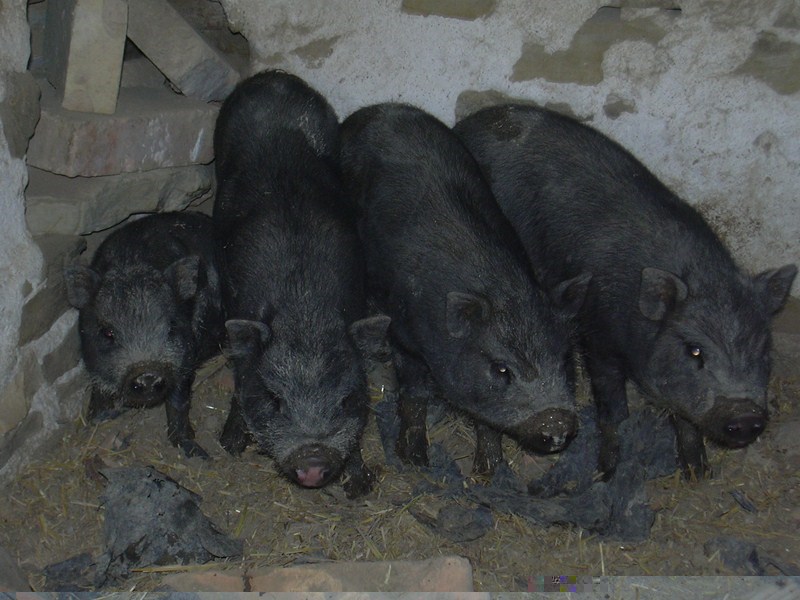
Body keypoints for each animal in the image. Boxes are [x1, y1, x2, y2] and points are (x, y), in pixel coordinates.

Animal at [64, 211, 225, 458]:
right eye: (108, 333)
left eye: (171, 326)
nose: (147, 374)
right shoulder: (92, 359)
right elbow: (99, 390)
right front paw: (98, 419)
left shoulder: (185, 357)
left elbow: (178, 401)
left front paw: (198, 453)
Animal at [213, 70, 390, 499]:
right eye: (275, 399)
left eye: (345, 400)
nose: (312, 462)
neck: (304, 310)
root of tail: (274, 76)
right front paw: (229, 446)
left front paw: (359, 484)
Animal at [339, 103, 591, 476]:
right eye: (501, 369)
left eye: (564, 359)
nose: (556, 422)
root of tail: (377, 109)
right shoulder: (404, 332)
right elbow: (414, 391)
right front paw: (415, 460)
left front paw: (489, 472)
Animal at [454, 104, 797, 478]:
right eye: (695, 351)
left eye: (762, 346)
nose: (745, 416)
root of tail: (472, 122)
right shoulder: (597, 338)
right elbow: (613, 408)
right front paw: (607, 472)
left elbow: (685, 418)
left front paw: (697, 473)